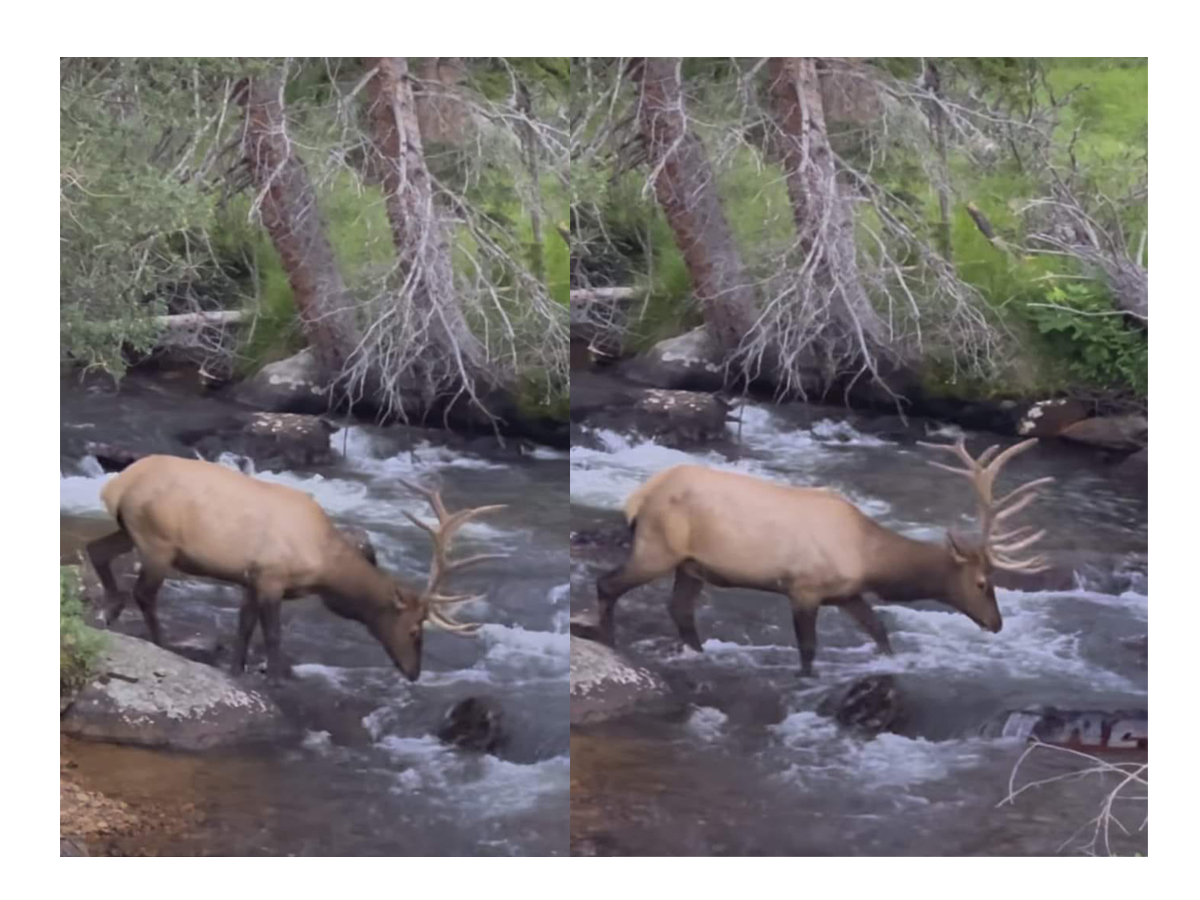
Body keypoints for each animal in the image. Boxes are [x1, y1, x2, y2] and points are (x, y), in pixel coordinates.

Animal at [84, 458, 504, 681]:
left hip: (130, 530)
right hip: (158, 542)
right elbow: (272, 636)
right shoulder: (272, 577)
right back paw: (161, 640)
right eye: (415, 629)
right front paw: (277, 676)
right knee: (144, 592)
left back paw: (110, 609)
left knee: (96, 550)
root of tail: (115, 486)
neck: (325, 571)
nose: (414, 672)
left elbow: (244, 627)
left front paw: (237, 668)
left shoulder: (250, 579)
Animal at [595, 436, 1056, 676]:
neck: (869, 558)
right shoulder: (804, 588)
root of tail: (638, 497)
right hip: (657, 547)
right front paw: (805, 678)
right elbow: (808, 647)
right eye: (982, 583)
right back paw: (608, 641)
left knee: (680, 609)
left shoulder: (846, 593)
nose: (997, 624)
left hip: (691, 565)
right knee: (607, 583)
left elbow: (880, 632)